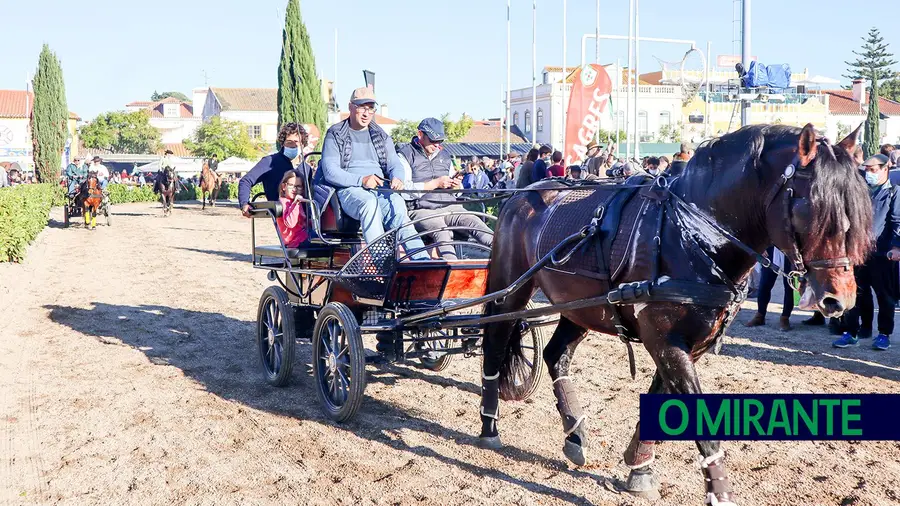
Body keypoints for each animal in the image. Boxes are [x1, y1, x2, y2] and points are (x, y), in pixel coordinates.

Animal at [478, 123, 872, 506]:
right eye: (809, 206)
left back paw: (575, 436)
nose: (840, 299)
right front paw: (719, 493)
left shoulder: (689, 345)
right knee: (495, 347)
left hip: (581, 307)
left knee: (555, 355)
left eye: (855, 211)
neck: (690, 234)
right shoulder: (664, 340)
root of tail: (521, 195)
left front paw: (639, 467)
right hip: (510, 291)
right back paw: (489, 425)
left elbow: (660, 401)